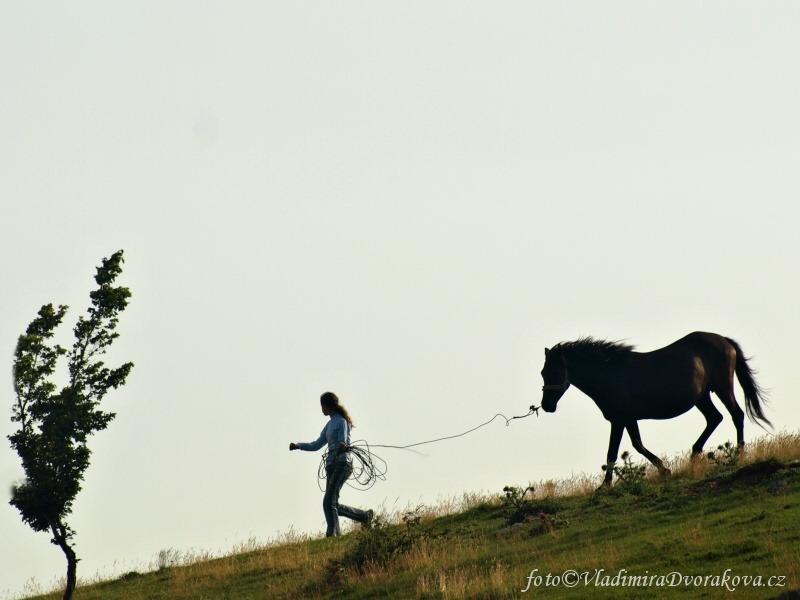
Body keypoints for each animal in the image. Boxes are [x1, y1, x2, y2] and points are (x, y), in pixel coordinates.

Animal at [540, 332, 772, 488]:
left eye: (554, 371)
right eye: (543, 372)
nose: (547, 406)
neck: (608, 373)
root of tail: (724, 340)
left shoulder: (619, 420)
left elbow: (613, 452)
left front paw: (604, 486)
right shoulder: (628, 419)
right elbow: (638, 445)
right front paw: (664, 469)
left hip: (723, 388)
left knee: (736, 415)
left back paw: (739, 454)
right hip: (702, 397)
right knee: (715, 418)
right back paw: (694, 453)